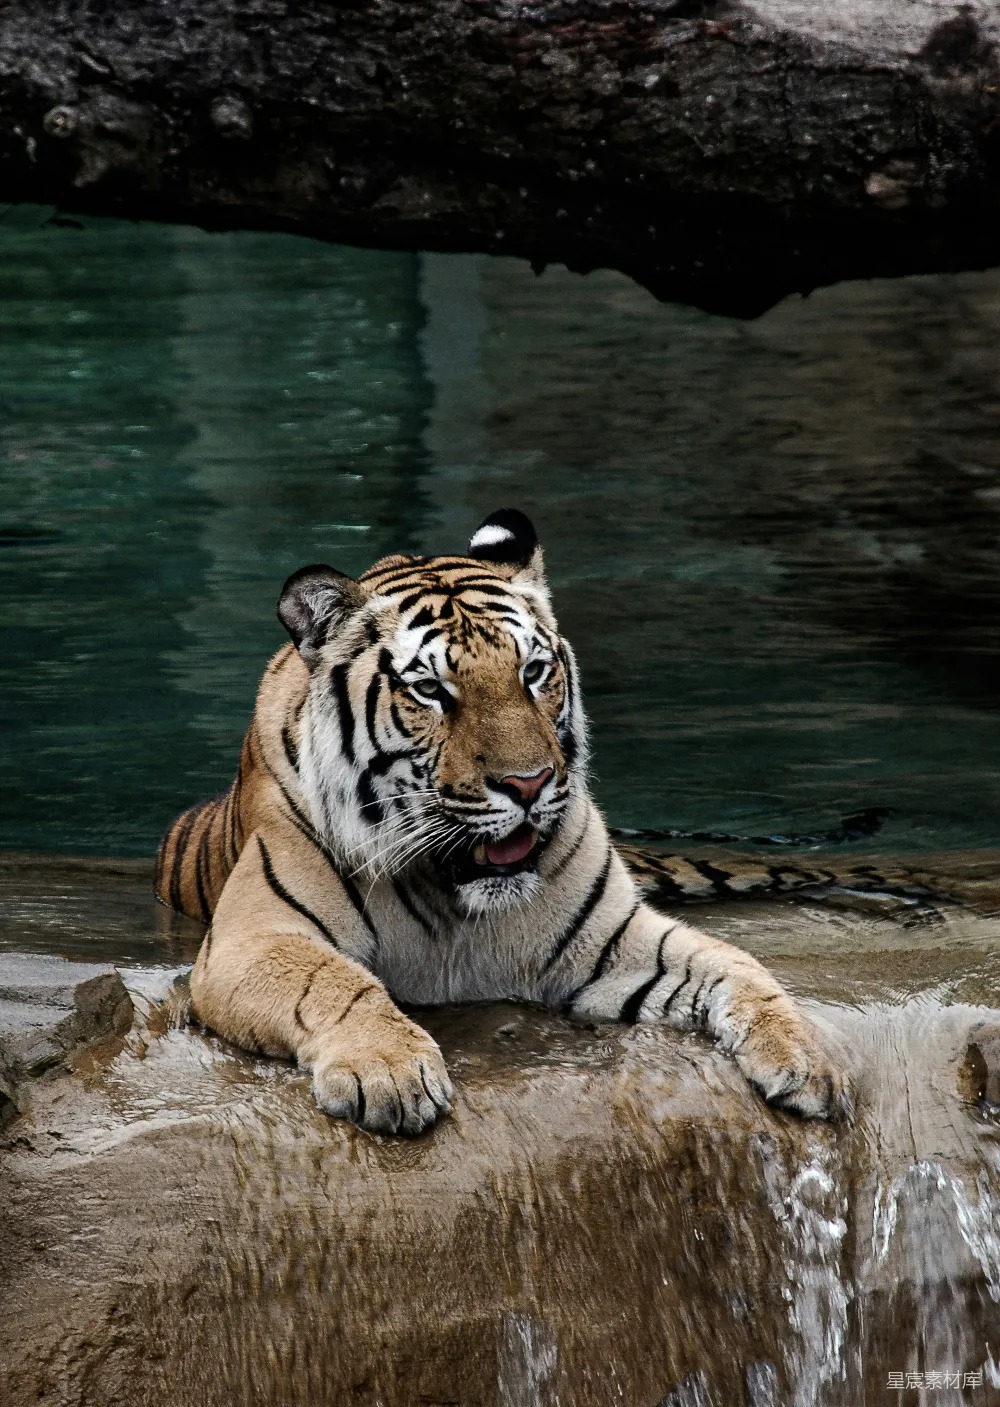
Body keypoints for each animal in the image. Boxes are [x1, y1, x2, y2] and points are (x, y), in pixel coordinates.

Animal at [155, 508, 852, 1135]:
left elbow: (735, 966)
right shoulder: (254, 938)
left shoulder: (615, 940)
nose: (528, 783)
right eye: (431, 691)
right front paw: (390, 1071)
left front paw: (807, 1056)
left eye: (533, 672)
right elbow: (333, 982)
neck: (454, 906)